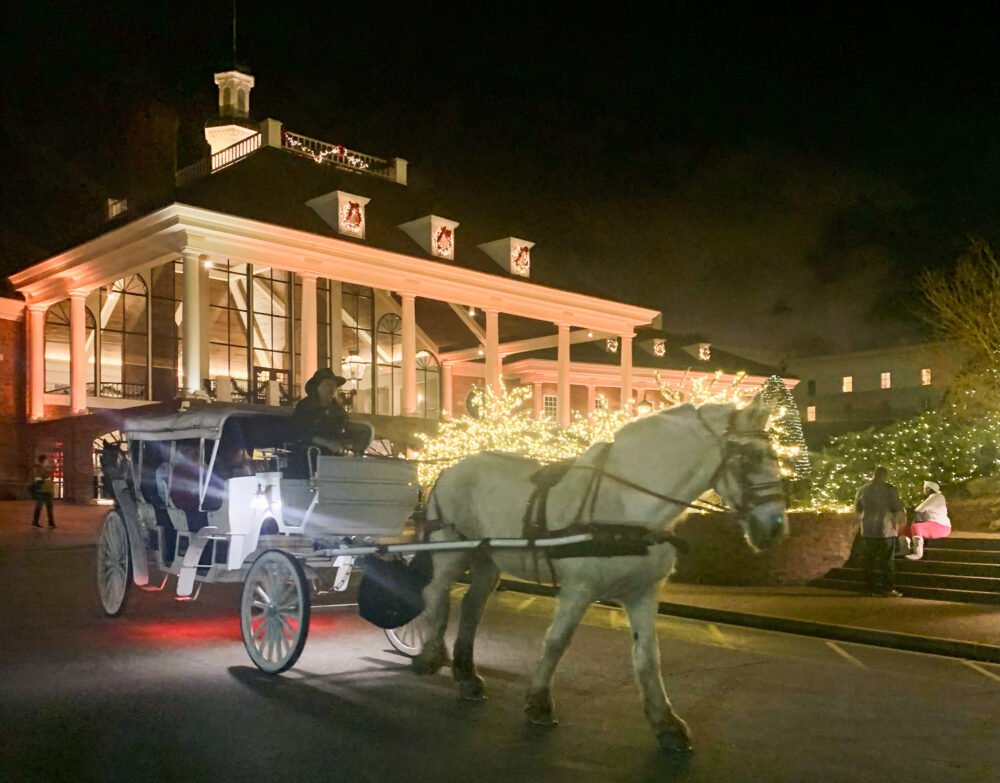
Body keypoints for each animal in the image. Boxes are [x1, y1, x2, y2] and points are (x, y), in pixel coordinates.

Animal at [410, 398, 784, 752]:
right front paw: (539, 701)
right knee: (434, 594)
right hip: (451, 550)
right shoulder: (579, 588)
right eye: (749, 457)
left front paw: (665, 723)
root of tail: (449, 469)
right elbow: (557, 641)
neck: (628, 508)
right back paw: (430, 654)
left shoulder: (643, 592)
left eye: (774, 455)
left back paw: (466, 674)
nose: (776, 527)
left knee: (472, 606)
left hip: (487, 560)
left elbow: (648, 656)